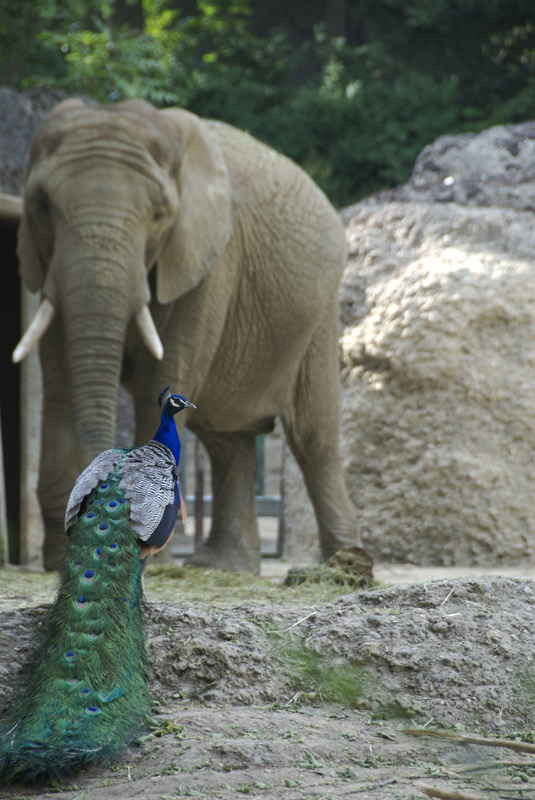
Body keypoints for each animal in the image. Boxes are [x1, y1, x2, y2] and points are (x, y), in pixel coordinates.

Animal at [14, 98, 362, 576]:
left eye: (160, 214)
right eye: (42, 205)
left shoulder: (207, 263)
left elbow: (159, 372)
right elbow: (59, 379)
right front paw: (54, 560)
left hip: (320, 310)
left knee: (313, 435)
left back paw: (344, 564)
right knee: (224, 438)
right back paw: (224, 566)